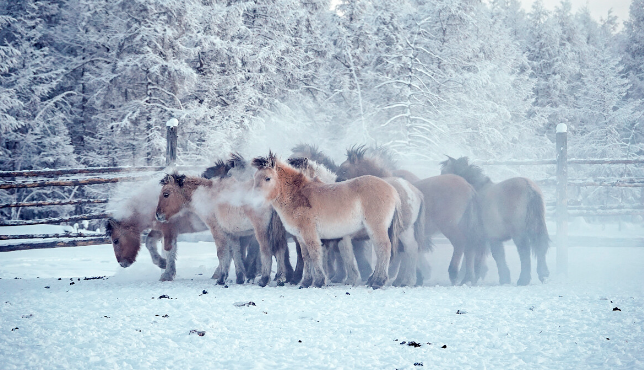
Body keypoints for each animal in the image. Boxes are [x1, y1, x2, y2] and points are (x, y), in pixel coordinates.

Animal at [156, 158, 294, 288]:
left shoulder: (217, 230)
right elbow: (236, 253)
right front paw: (239, 278)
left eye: (166, 194)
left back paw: (264, 279)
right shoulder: (232, 233)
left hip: (261, 230)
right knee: (281, 250)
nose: (158, 215)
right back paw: (281, 278)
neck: (207, 195)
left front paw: (221, 278)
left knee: (266, 249)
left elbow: (222, 253)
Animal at [252, 151, 402, 290]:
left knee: (383, 248)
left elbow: (315, 255)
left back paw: (378, 282)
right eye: (255, 178)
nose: (254, 199)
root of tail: (392, 190)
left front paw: (318, 281)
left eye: (268, 178)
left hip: (376, 228)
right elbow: (306, 257)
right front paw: (306, 282)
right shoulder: (301, 237)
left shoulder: (310, 235)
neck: (297, 196)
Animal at [338, 146, 484, 284]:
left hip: (449, 226)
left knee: (460, 243)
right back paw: (468, 277)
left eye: (344, 169)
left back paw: (453, 273)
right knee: (470, 246)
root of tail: (468, 186)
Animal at [440, 156, 552, 286]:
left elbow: (488, 255)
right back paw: (543, 275)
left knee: (524, 251)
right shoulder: (491, 237)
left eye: (444, 173)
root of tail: (529, 187)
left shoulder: (483, 236)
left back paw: (523, 279)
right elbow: (495, 255)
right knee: (541, 246)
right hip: (537, 226)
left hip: (518, 232)